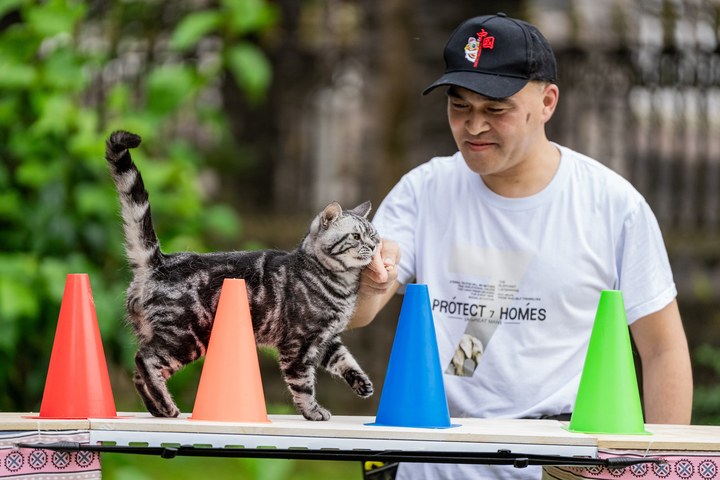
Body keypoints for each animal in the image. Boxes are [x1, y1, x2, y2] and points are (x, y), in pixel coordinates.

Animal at [106, 130, 380, 420]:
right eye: (356, 237)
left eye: (374, 236)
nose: (374, 246)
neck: (342, 284)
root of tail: (159, 261)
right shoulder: (299, 344)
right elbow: (303, 384)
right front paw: (313, 411)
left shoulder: (328, 340)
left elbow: (347, 361)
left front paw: (362, 384)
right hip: (186, 338)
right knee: (144, 360)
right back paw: (167, 406)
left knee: (138, 373)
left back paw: (157, 408)